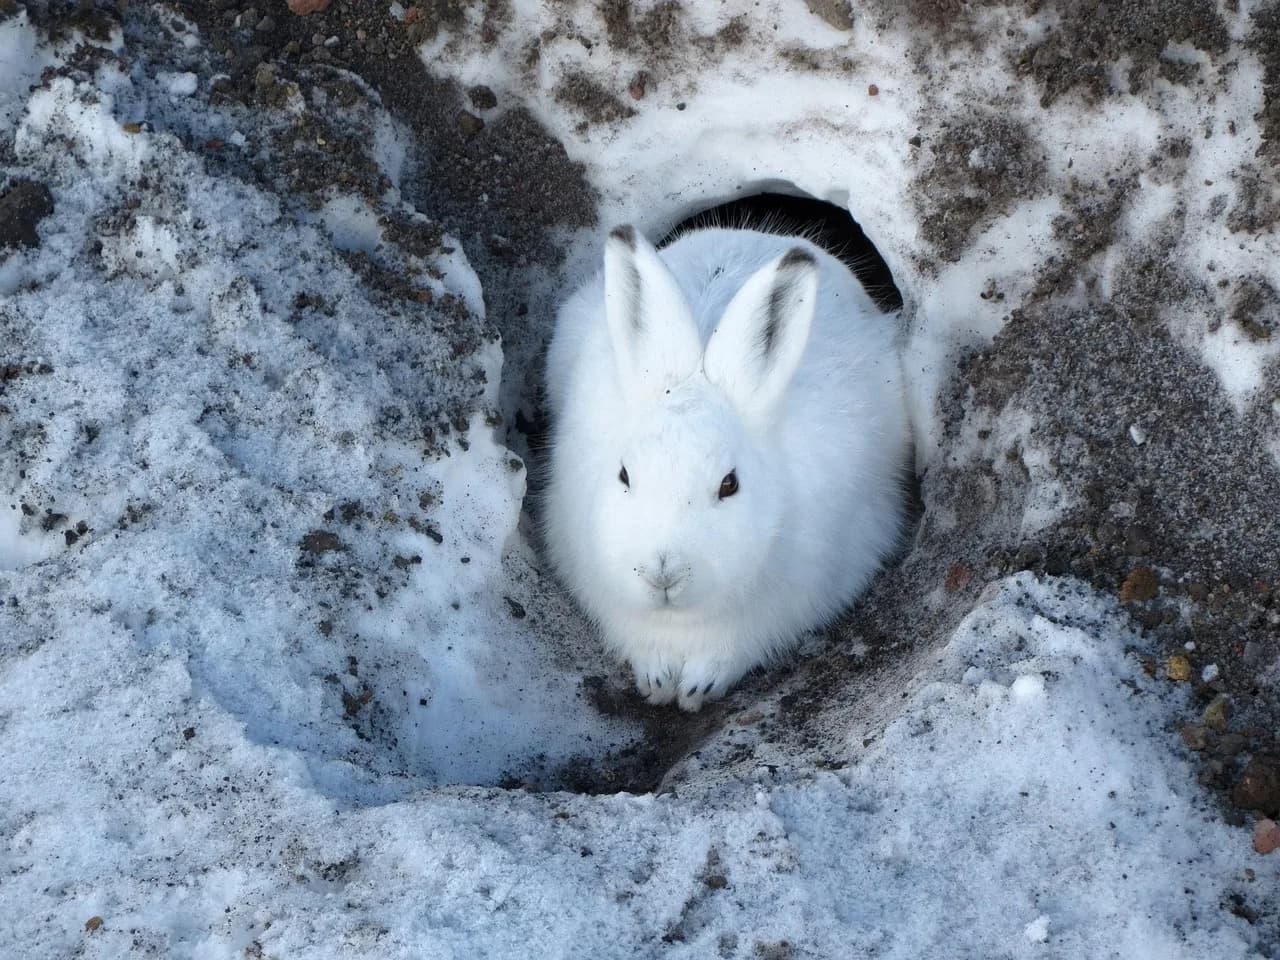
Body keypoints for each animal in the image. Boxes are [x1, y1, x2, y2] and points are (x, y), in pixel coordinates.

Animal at [543, 224, 909, 711]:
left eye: (729, 485)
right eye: (624, 475)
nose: (663, 572)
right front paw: (656, 681)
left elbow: (734, 649)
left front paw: (697, 688)